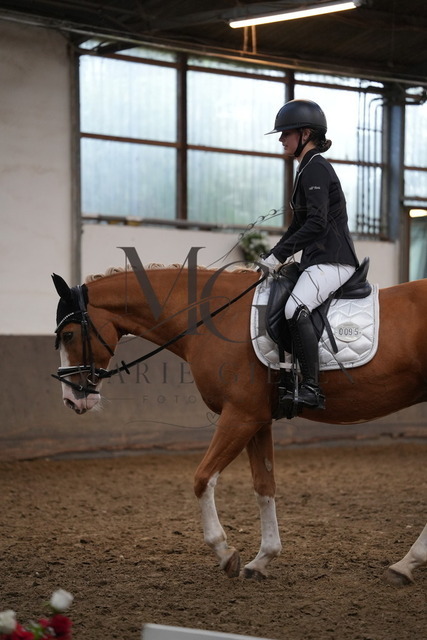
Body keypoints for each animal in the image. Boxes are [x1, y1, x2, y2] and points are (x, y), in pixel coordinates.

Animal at [51, 262, 427, 583]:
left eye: (68, 335)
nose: (71, 400)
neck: (213, 319)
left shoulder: (240, 415)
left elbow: (202, 478)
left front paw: (224, 551)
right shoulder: (258, 419)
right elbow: (264, 486)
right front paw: (262, 559)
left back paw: (405, 564)